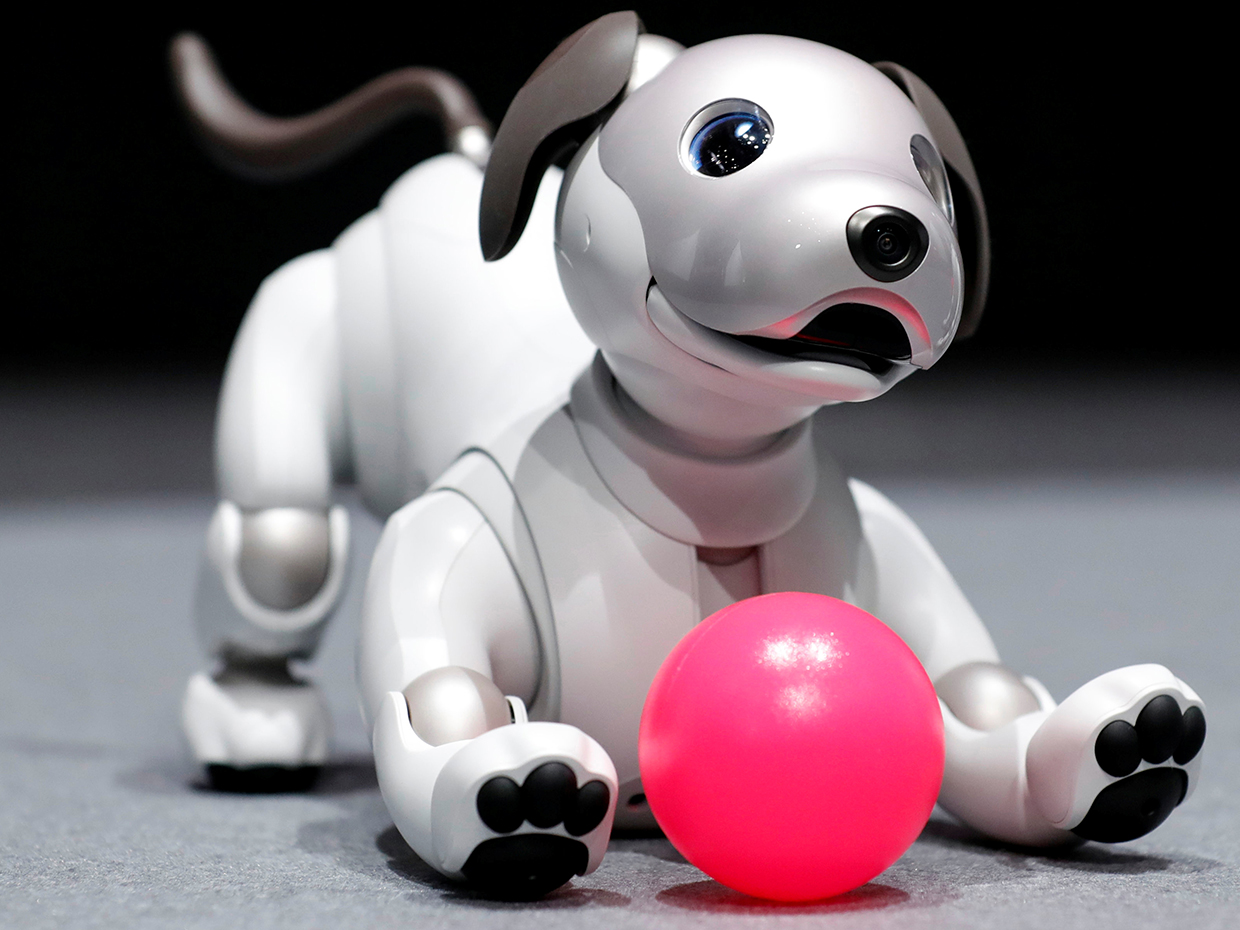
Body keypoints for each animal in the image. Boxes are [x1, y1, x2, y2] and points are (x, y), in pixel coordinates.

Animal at [172, 10, 1200, 902]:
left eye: (933, 175)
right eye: (729, 142)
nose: (892, 232)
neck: (708, 462)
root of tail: (459, 156)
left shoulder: (887, 545)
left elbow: (975, 698)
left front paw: (1114, 753)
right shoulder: (457, 526)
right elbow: (441, 695)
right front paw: (512, 797)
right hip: (318, 306)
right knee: (282, 539)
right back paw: (258, 724)